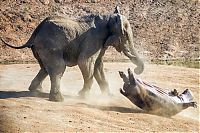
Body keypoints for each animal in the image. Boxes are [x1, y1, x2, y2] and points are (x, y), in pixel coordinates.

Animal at [1, 6, 144, 102]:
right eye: (125, 35)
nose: (134, 70)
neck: (108, 18)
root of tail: (35, 32)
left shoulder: (100, 42)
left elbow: (98, 66)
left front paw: (109, 97)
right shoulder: (93, 39)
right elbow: (85, 62)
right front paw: (82, 96)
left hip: (41, 48)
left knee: (45, 68)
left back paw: (35, 90)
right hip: (50, 45)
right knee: (58, 67)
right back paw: (58, 99)